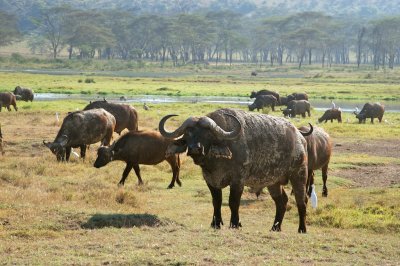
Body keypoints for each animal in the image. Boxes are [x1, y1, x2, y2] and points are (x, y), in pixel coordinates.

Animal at [159, 108, 312, 233]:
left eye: (206, 134)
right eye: (188, 133)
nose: (195, 148)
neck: (215, 162)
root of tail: (300, 137)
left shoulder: (238, 180)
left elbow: (233, 202)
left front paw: (235, 223)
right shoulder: (210, 180)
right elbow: (216, 201)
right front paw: (216, 223)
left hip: (299, 174)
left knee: (302, 200)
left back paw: (302, 228)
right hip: (273, 182)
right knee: (282, 201)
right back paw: (275, 227)